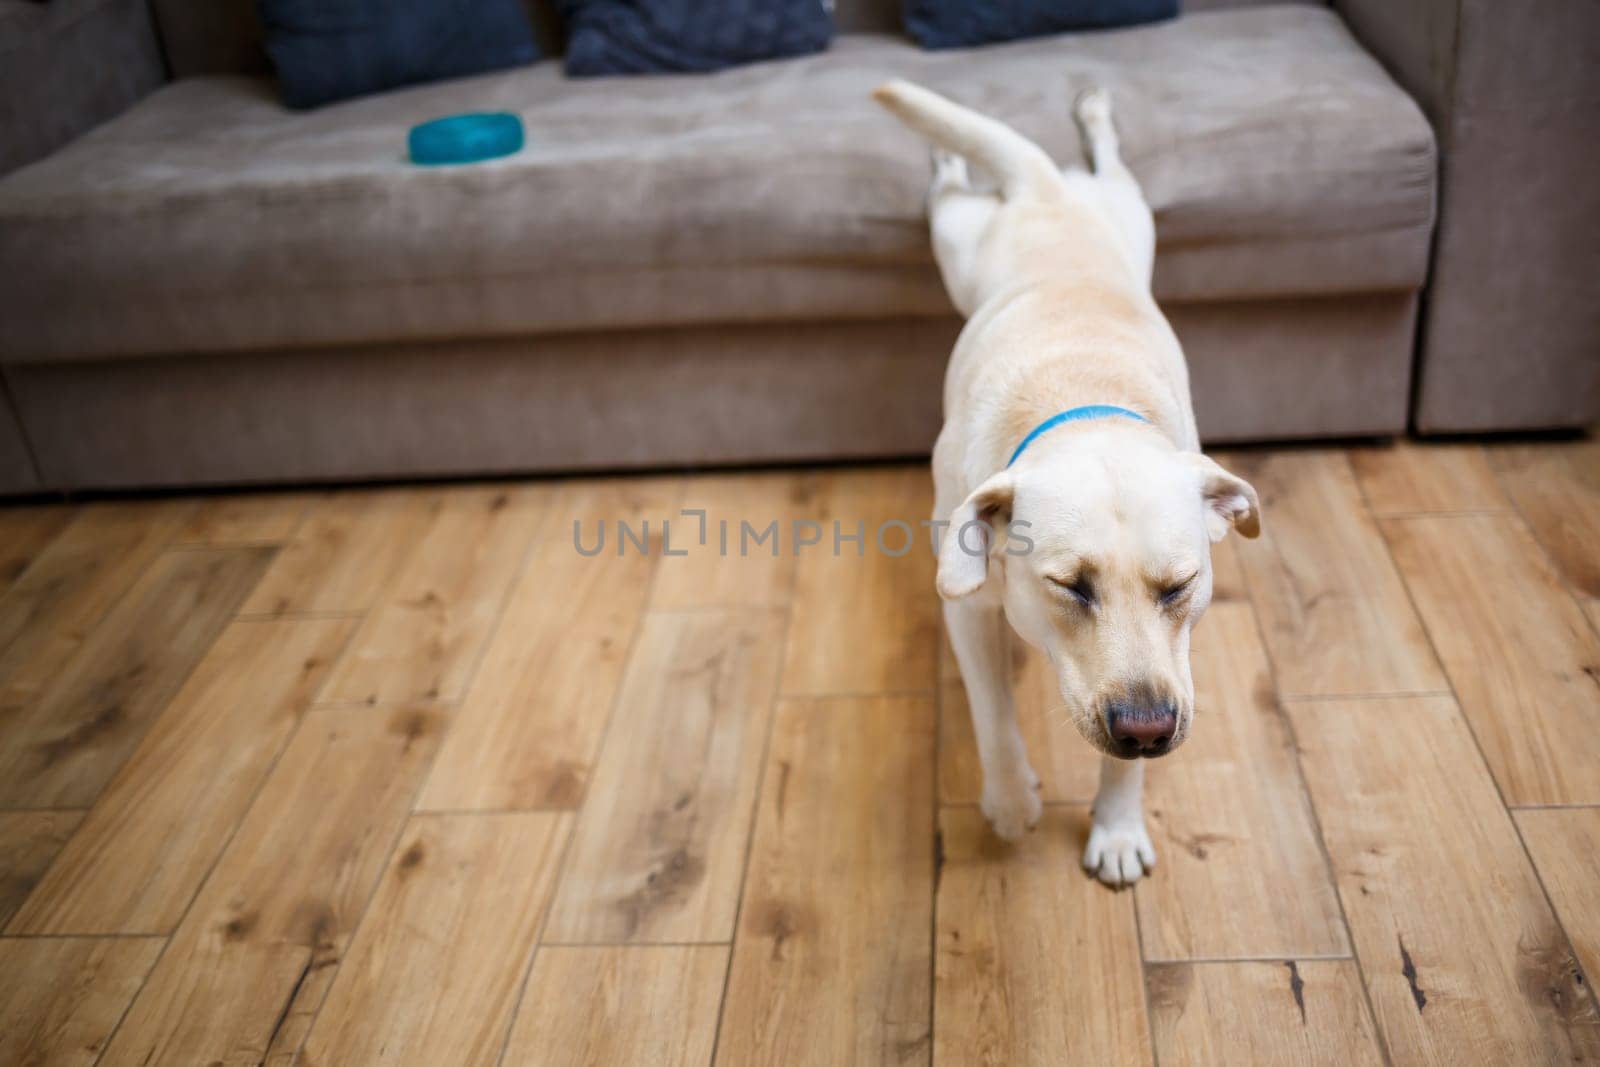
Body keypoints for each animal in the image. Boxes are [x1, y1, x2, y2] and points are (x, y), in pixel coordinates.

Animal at [876, 81, 1260, 883]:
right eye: (1070, 586)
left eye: (1180, 587)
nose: (1147, 728)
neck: (1084, 402)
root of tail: (1049, 191)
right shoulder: (968, 610)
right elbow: (992, 715)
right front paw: (1011, 800)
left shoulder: (1168, 672)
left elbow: (1127, 754)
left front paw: (1116, 824)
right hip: (957, 246)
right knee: (950, 193)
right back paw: (952, 156)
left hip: (1131, 218)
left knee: (1109, 164)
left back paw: (1093, 117)